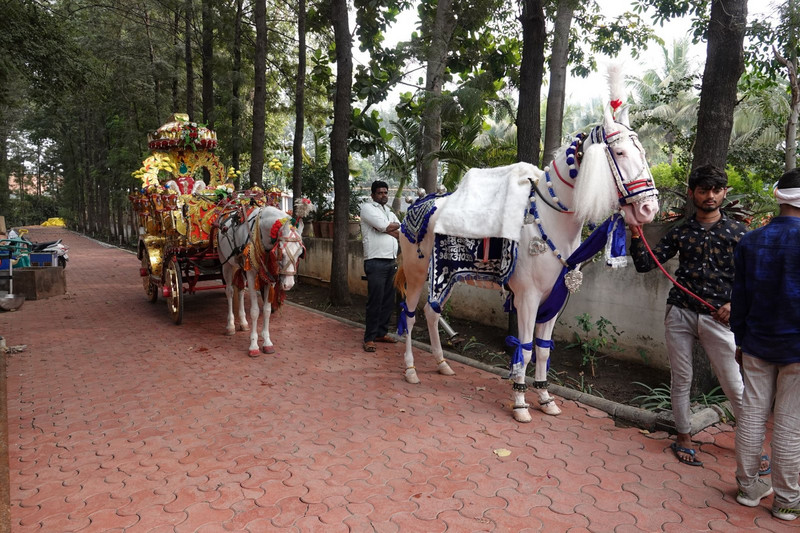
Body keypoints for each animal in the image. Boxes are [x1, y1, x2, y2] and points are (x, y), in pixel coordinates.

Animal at [216, 202, 306, 356]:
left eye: (300, 253)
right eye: (281, 251)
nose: (288, 284)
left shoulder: (269, 275)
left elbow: (267, 310)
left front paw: (267, 342)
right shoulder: (252, 274)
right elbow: (255, 311)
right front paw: (253, 345)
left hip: (240, 266)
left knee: (240, 290)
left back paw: (243, 322)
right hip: (225, 262)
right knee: (229, 291)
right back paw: (231, 325)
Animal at [396, 102, 660, 422]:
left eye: (642, 152)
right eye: (620, 153)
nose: (649, 208)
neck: (550, 219)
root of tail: (417, 203)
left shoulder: (557, 297)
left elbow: (543, 349)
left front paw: (546, 398)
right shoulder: (527, 298)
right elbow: (524, 348)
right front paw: (520, 403)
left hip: (448, 276)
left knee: (432, 313)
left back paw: (441, 363)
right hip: (417, 272)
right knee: (410, 314)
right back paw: (410, 369)